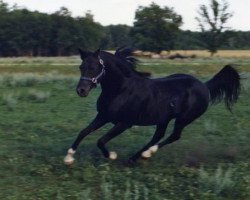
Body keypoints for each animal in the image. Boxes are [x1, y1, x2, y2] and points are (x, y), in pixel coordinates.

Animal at [64, 47, 240, 165]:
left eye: (95, 67)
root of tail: (204, 86)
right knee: (159, 136)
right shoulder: (103, 116)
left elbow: (101, 141)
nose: (81, 90)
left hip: (183, 119)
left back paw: (147, 154)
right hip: (164, 119)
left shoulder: (124, 123)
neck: (121, 90)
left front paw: (112, 155)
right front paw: (69, 157)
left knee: (174, 136)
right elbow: (83, 132)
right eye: (81, 67)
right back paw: (136, 157)